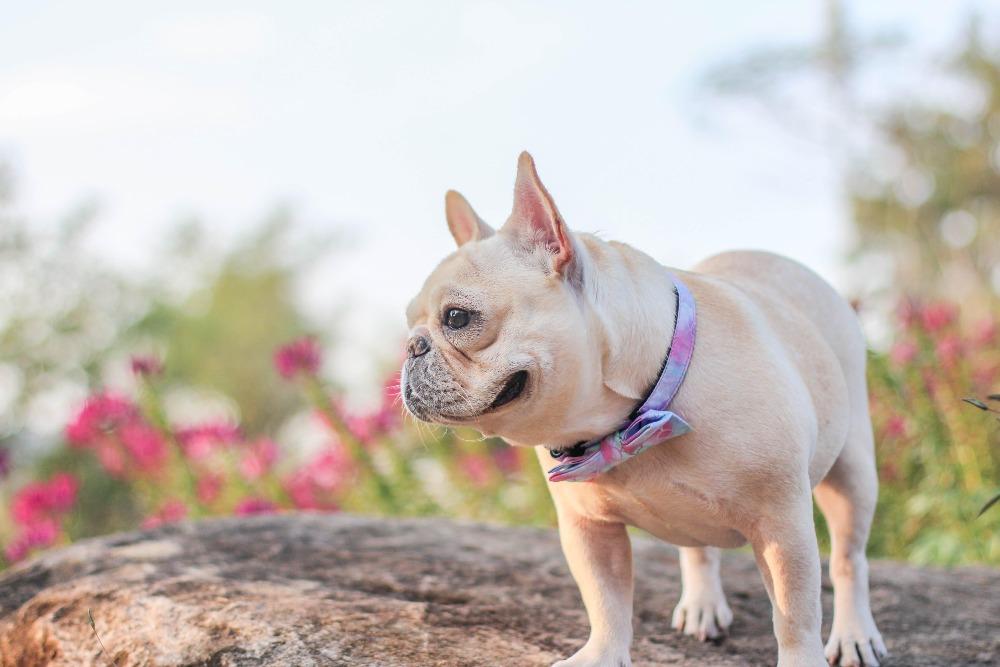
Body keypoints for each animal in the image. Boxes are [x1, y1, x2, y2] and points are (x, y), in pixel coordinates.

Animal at [402, 153, 888, 667]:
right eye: (409, 321)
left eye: (457, 318)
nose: (411, 346)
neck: (634, 417)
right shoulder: (590, 528)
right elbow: (605, 598)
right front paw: (601, 654)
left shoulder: (782, 527)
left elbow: (795, 614)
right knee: (698, 548)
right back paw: (702, 604)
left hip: (853, 469)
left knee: (848, 558)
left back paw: (854, 633)